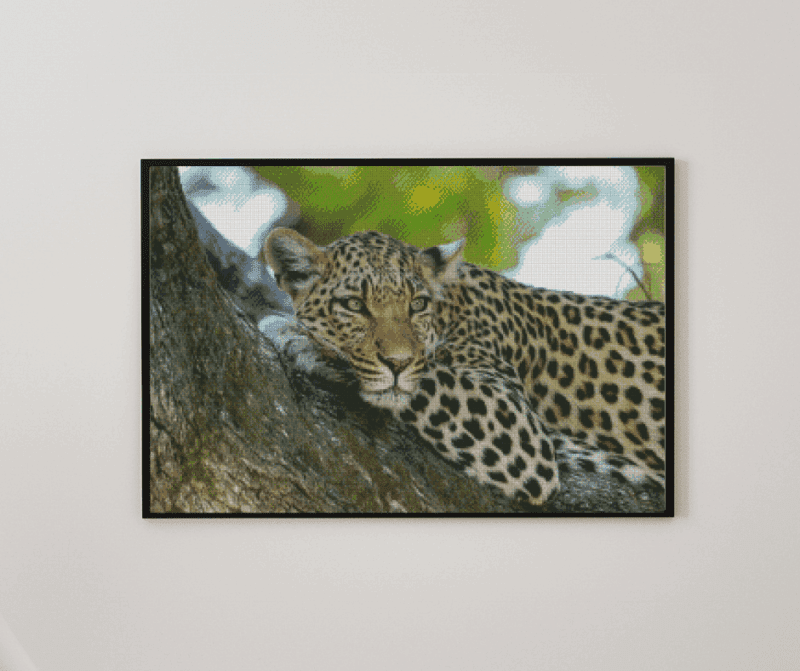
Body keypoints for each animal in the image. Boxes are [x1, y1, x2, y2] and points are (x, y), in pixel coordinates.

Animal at [263, 228, 667, 508]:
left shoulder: (520, 430)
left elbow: (426, 376)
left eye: (417, 305)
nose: (397, 362)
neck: (451, 309)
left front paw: (302, 339)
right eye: (353, 305)